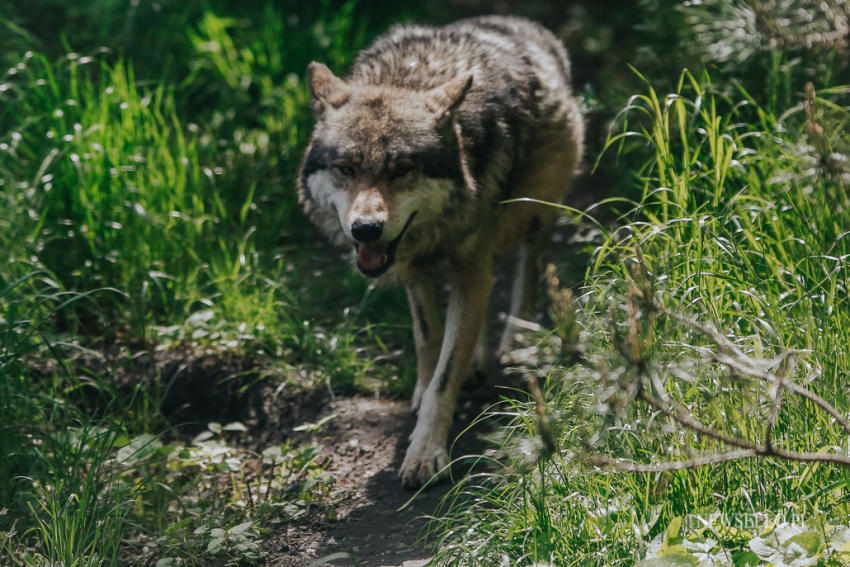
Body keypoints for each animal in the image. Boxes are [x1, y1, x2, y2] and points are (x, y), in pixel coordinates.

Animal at [298, 14, 584, 488]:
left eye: (402, 170)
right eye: (346, 169)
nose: (366, 230)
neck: (407, 78)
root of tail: (518, 22)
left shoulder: (468, 265)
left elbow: (445, 374)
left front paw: (425, 452)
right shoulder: (415, 267)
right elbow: (429, 338)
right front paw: (422, 390)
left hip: (533, 214)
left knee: (526, 269)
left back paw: (515, 341)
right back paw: (480, 359)